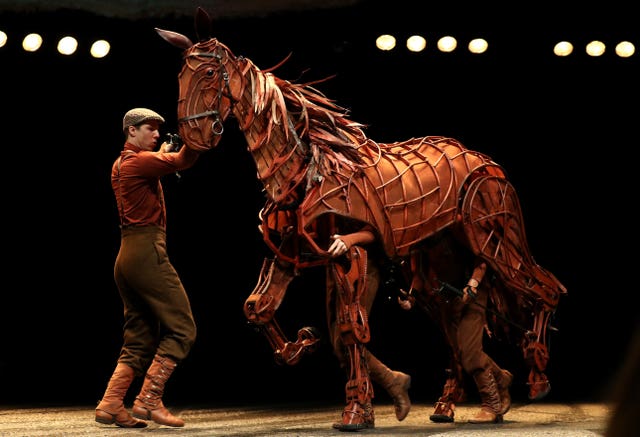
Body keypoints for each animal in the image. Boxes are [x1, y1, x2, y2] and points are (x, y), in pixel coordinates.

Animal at [156, 7, 567, 431]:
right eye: (181, 74)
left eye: (209, 72)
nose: (194, 136)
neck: (308, 168)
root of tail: (486, 162)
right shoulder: (288, 253)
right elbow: (259, 307)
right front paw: (300, 348)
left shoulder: (352, 251)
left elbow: (351, 328)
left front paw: (355, 410)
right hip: (436, 270)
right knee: (454, 327)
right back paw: (461, 400)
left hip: (495, 237)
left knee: (547, 288)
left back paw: (536, 376)